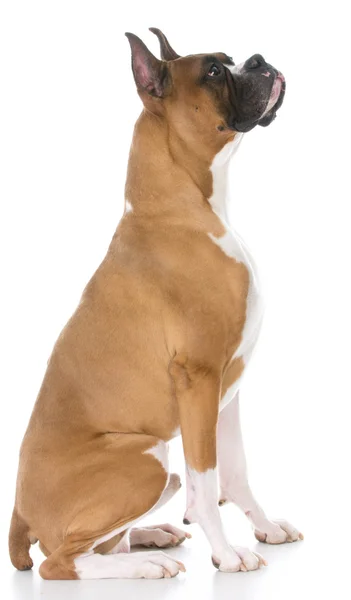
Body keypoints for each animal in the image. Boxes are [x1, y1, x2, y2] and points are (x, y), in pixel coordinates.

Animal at [9, 29, 304, 580]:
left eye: (233, 60)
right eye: (213, 71)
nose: (259, 60)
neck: (182, 206)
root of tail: (18, 511)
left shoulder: (227, 386)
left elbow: (235, 470)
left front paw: (265, 527)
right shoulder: (199, 379)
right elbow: (206, 483)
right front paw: (226, 553)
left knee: (104, 543)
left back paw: (151, 537)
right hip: (147, 456)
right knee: (60, 561)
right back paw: (145, 565)